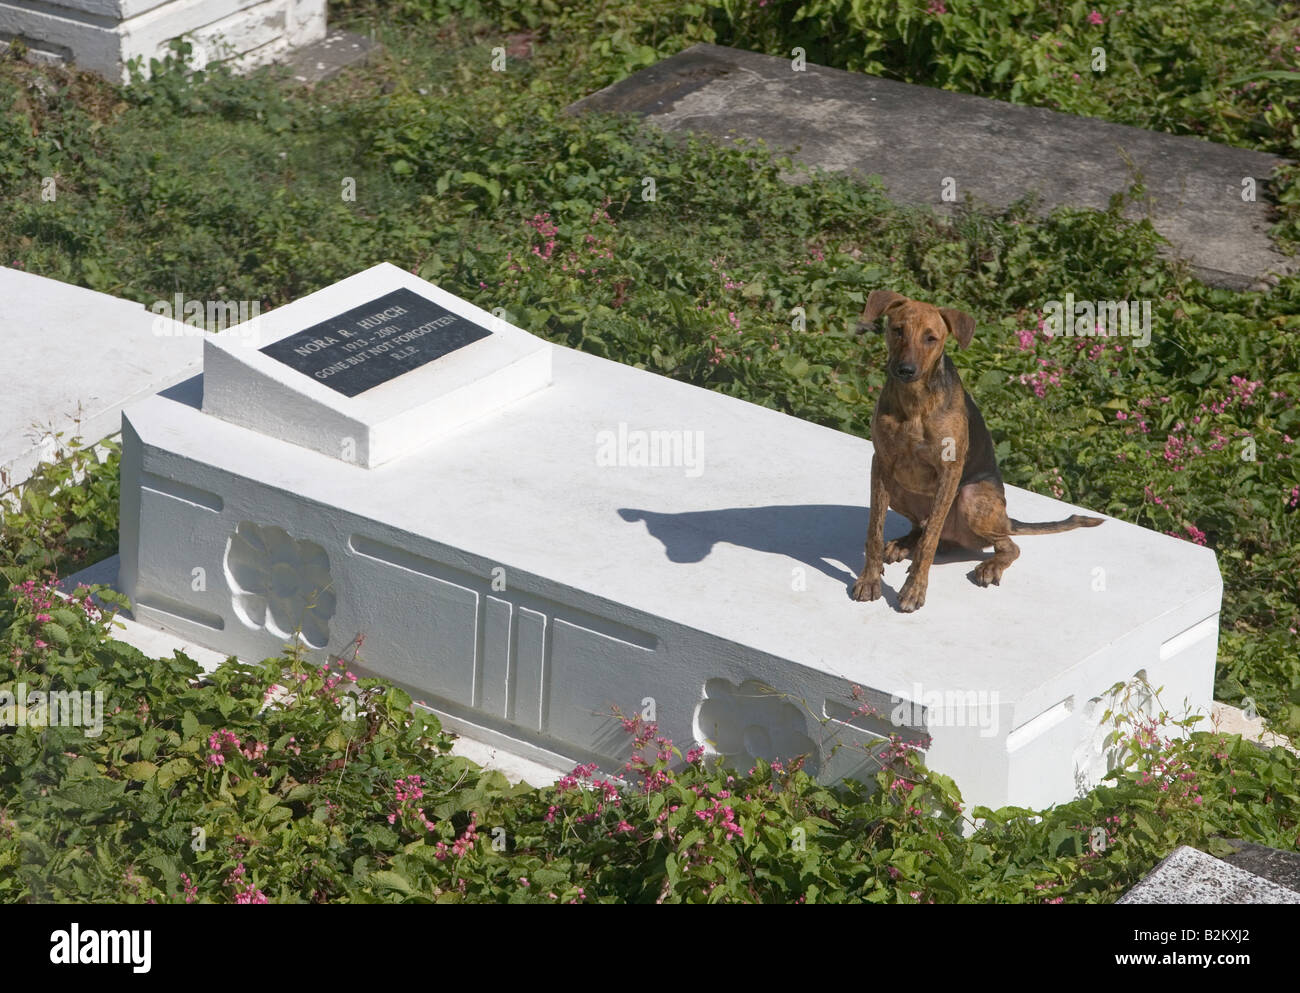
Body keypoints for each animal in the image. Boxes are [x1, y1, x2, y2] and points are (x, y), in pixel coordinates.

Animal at [847, 288, 1102, 613]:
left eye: (931, 338)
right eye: (898, 330)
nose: (905, 370)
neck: (915, 401)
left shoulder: (950, 470)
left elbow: (928, 543)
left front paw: (914, 589)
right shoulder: (881, 462)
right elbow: (874, 531)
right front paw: (869, 578)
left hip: (972, 499)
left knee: (1006, 544)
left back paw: (990, 565)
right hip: (899, 488)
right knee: (922, 526)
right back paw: (904, 543)